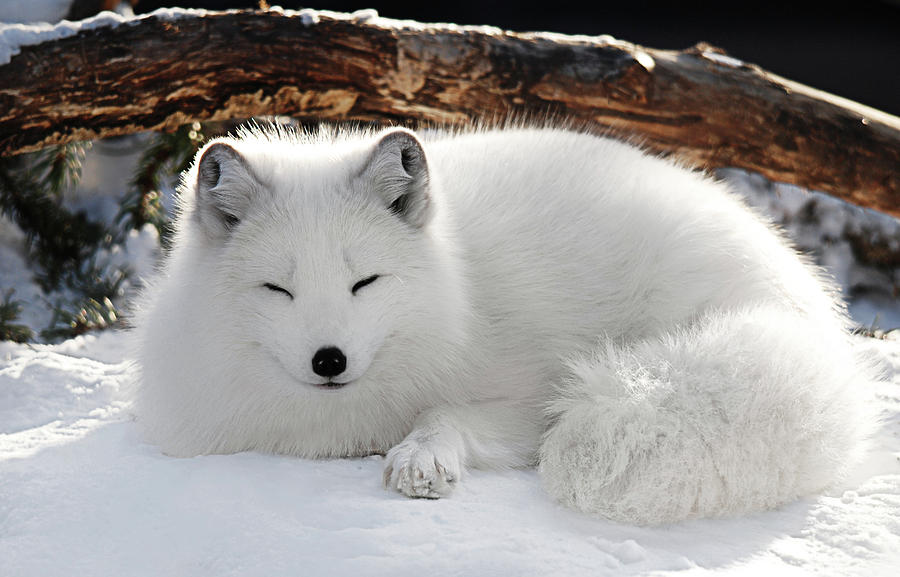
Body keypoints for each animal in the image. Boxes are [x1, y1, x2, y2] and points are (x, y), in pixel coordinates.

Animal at [132, 124, 872, 525]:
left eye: (364, 282)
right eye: (278, 288)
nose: (329, 359)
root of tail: (804, 298)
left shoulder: (532, 396)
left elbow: (447, 414)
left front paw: (422, 455)